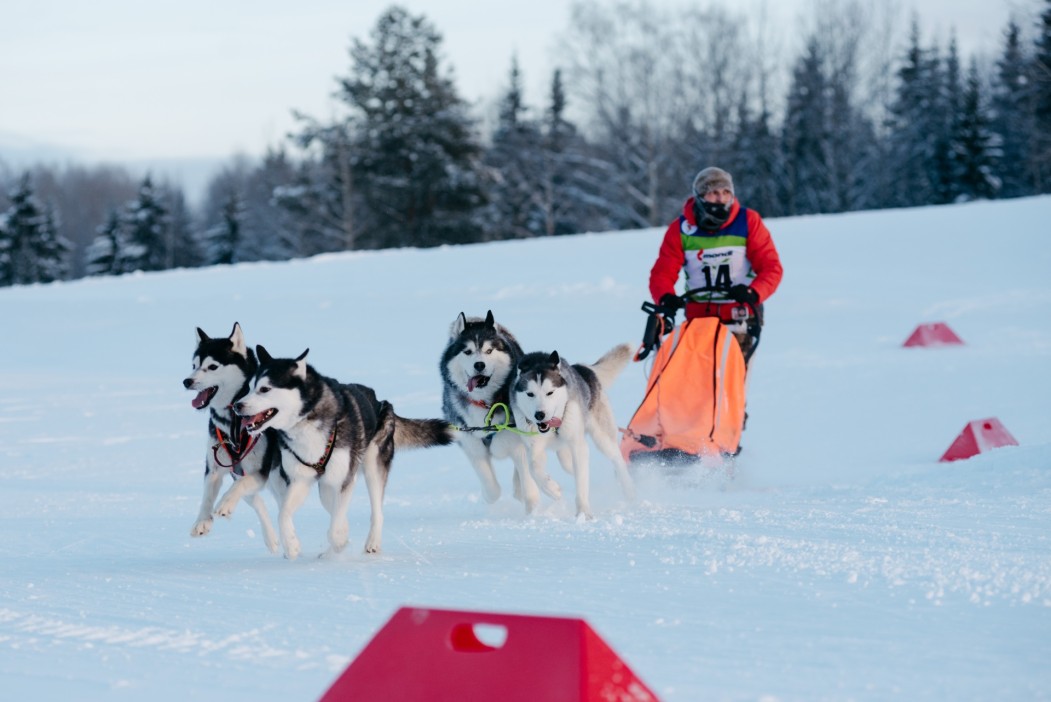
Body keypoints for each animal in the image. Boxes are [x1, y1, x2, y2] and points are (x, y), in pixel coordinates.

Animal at [182, 323, 279, 554]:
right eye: (194, 365)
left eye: (212, 367)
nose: (187, 381)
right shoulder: (216, 467)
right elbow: (208, 495)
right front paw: (202, 521)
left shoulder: (259, 470)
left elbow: (239, 486)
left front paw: (224, 504)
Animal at [236, 344, 454, 559]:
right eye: (250, 388)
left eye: (265, 389)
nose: (237, 405)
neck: (307, 422)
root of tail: (381, 402)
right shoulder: (300, 480)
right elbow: (283, 514)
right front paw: (291, 545)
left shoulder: (345, 478)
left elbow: (336, 525)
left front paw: (339, 540)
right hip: (325, 488)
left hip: (372, 466)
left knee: (376, 511)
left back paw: (371, 542)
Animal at [439, 308, 554, 506]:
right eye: (467, 351)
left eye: (489, 350)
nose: (479, 364)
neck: (484, 402)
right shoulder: (471, 444)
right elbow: (493, 490)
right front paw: (488, 494)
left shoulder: (518, 441)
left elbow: (529, 485)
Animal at [506, 342, 634, 519]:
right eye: (530, 394)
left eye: (550, 392)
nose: (539, 414)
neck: (553, 427)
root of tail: (583, 369)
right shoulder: (534, 447)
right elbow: (534, 468)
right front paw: (552, 489)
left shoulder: (577, 445)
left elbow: (581, 482)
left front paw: (583, 512)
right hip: (564, 454)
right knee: (570, 466)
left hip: (602, 438)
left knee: (617, 460)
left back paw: (629, 492)